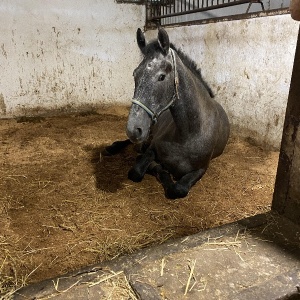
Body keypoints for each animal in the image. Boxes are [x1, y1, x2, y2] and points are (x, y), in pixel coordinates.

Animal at [103, 28, 230, 199]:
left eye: (161, 76)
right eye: (135, 74)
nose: (133, 129)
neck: (188, 134)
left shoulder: (201, 169)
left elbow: (178, 189)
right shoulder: (151, 148)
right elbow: (138, 170)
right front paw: (159, 169)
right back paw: (112, 148)